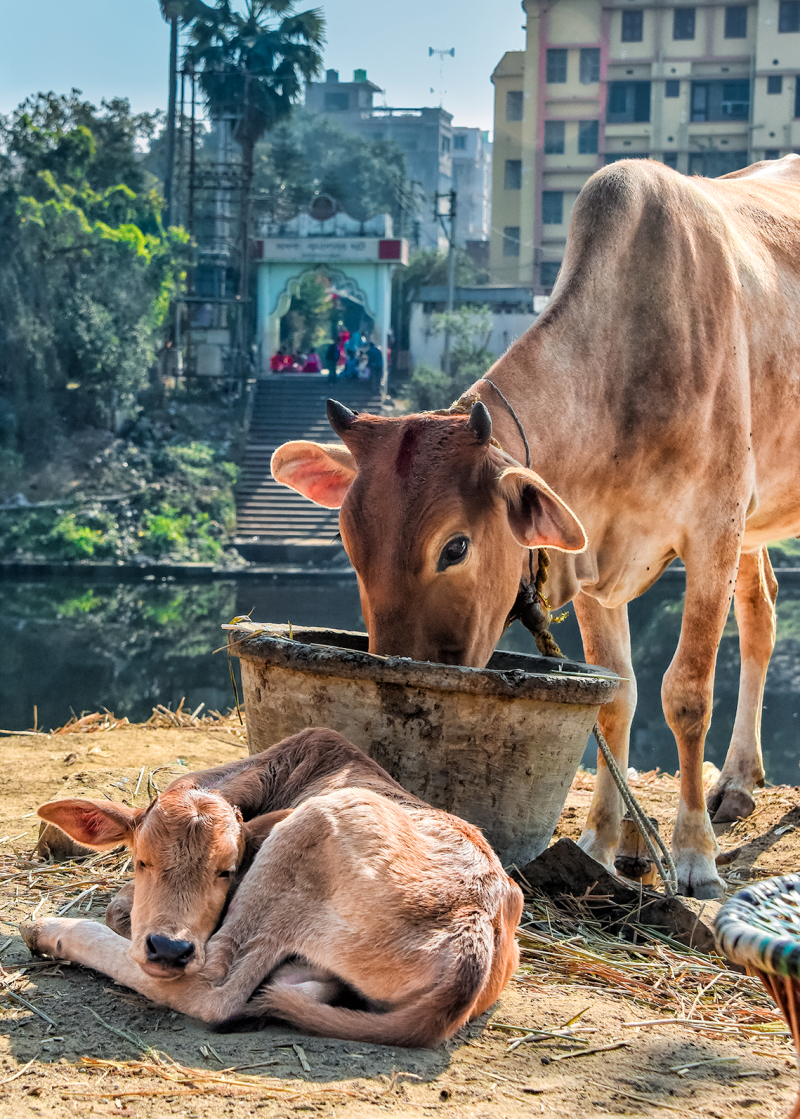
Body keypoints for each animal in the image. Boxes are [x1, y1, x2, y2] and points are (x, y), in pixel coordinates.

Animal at [21, 728, 523, 1047]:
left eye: (227, 870)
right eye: (141, 859)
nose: (168, 948)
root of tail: (475, 930)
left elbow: (119, 912)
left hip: (303, 838)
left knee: (214, 992)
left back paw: (50, 930)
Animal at [271, 155, 800, 900]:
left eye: (455, 546)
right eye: (350, 542)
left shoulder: (713, 530)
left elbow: (686, 692)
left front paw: (694, 855)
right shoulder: (598, 560)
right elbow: (616, 696)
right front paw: (605, 842)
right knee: (762, 612)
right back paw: (739, 780)